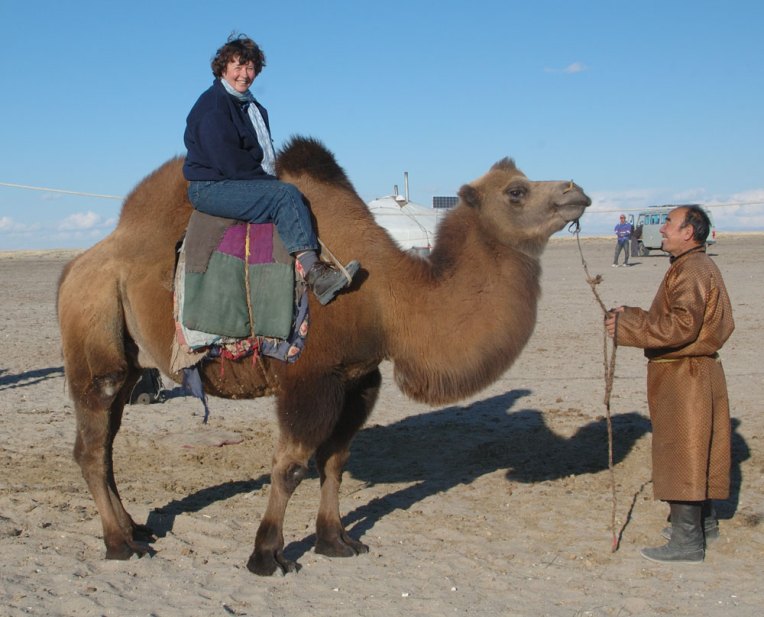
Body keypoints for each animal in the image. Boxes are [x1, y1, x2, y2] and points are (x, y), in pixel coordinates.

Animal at [57, 136, 590, 576]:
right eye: (516, 191)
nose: (577, 190)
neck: (390, 300)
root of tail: (75, 267)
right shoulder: (310, 378)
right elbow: (290, 465)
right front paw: (267, 555)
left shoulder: (358, 378)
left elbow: (335, 460)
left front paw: (336, 541)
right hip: (95, 346)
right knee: (91, 447)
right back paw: (120, 544)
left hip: (129, 365)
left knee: (105, 445)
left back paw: (134, 528)